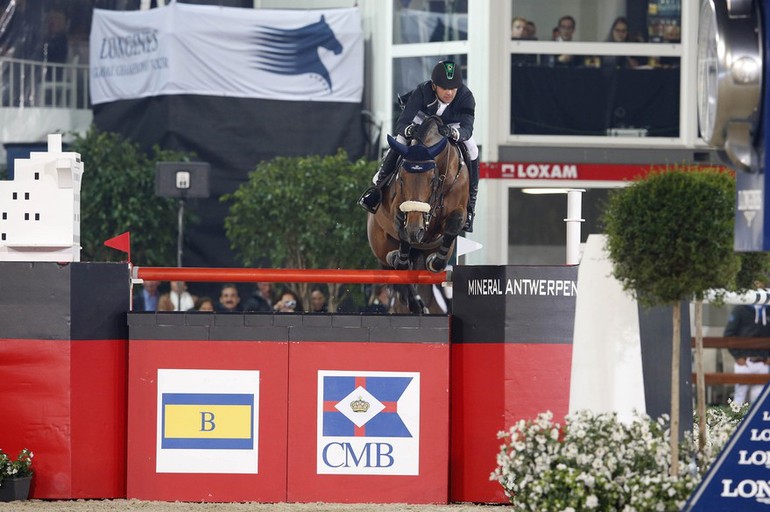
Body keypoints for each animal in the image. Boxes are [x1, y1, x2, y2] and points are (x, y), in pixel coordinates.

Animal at [366, 115, 468, 314]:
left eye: (432, 179)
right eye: (401, 178)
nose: (416, 231)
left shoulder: (457, 210)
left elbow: (454, 224)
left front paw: (435, 262)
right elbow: (402, 227)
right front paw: (401, 253)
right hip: (380, 242)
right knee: (395, 270)